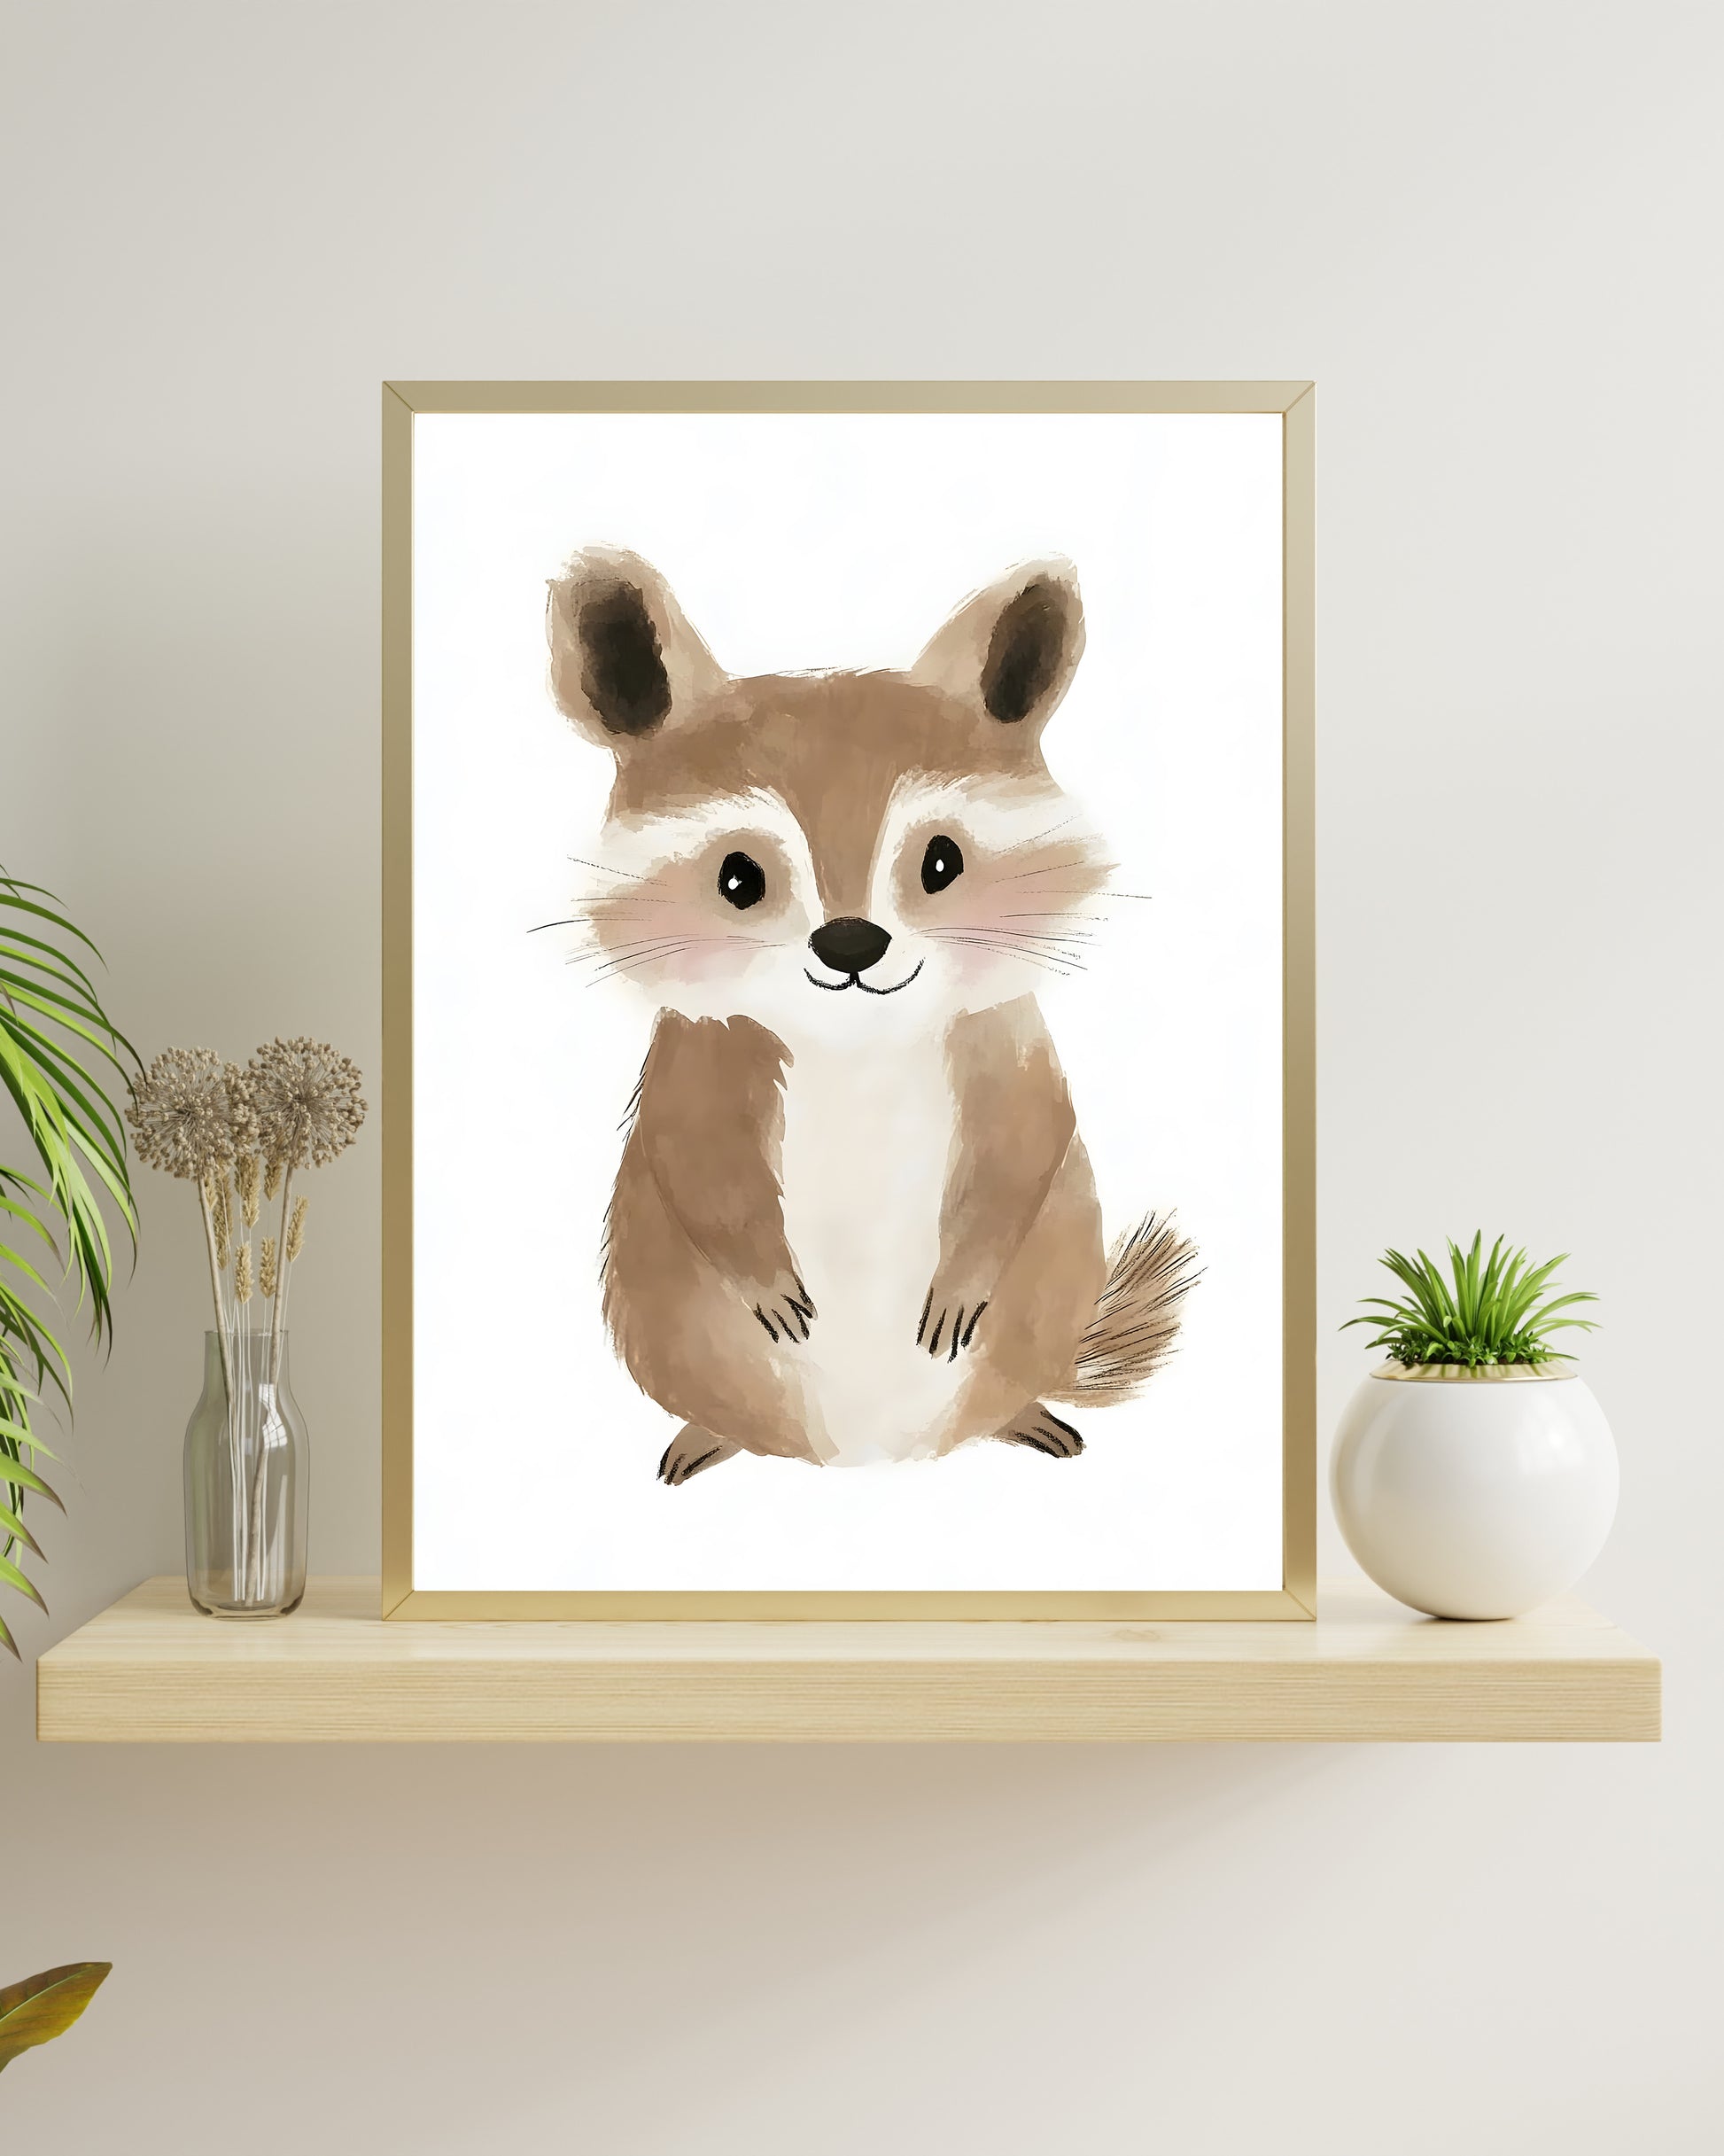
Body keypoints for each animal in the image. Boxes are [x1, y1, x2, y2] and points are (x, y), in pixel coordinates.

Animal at [545, 549, 1196, 1483]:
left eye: (942, 861)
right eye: (738, 877)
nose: (850, 941)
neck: (854, 1041)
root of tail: (872, 1455)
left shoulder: (1000, 1033)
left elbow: (1028, 1139)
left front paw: (966, 1274)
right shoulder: (706, 1048)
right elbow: (694, 1155)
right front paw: (763, 1274)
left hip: (1044, 1307)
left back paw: (1025, 1414)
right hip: (670, 1325)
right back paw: (709, 1432)